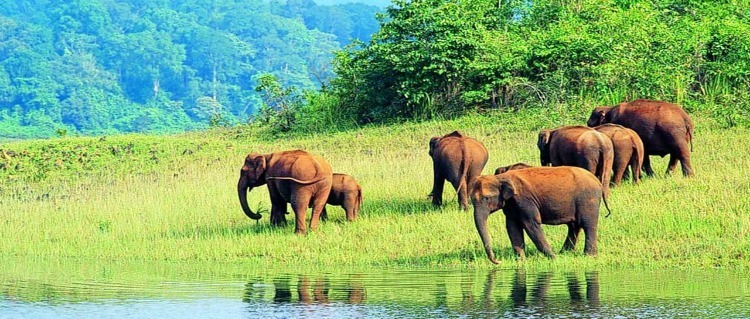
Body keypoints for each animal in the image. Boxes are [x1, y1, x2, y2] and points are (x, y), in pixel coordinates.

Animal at [472, 166, 612, 264]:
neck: (500, 177)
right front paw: (521, 261)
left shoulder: (524, 200)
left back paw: (589, 256)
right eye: (472, 200)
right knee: (574, 226)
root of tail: (598, 182)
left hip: (588, 199)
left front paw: (554, 259)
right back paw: (565, 252)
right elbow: (512, 227)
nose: (498, 261)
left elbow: (531, 224)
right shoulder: (511, 204)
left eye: (486, 198)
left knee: (587, 225)